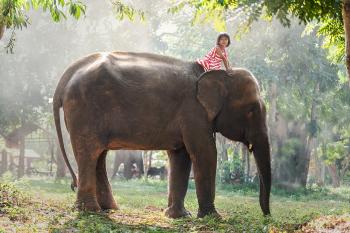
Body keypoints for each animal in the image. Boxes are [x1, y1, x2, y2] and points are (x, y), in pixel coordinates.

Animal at [52, 51, 270, 218]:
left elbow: (181, 156)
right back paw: (90, 211)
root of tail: (68, 73)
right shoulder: (194, 112)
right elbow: (205, 154)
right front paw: (213, 218)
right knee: (89, 153)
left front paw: (178, 216)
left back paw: (108, 209)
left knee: (98, 155)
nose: (266, 216)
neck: (217, 74)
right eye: (251, 110)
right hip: (84, 110)